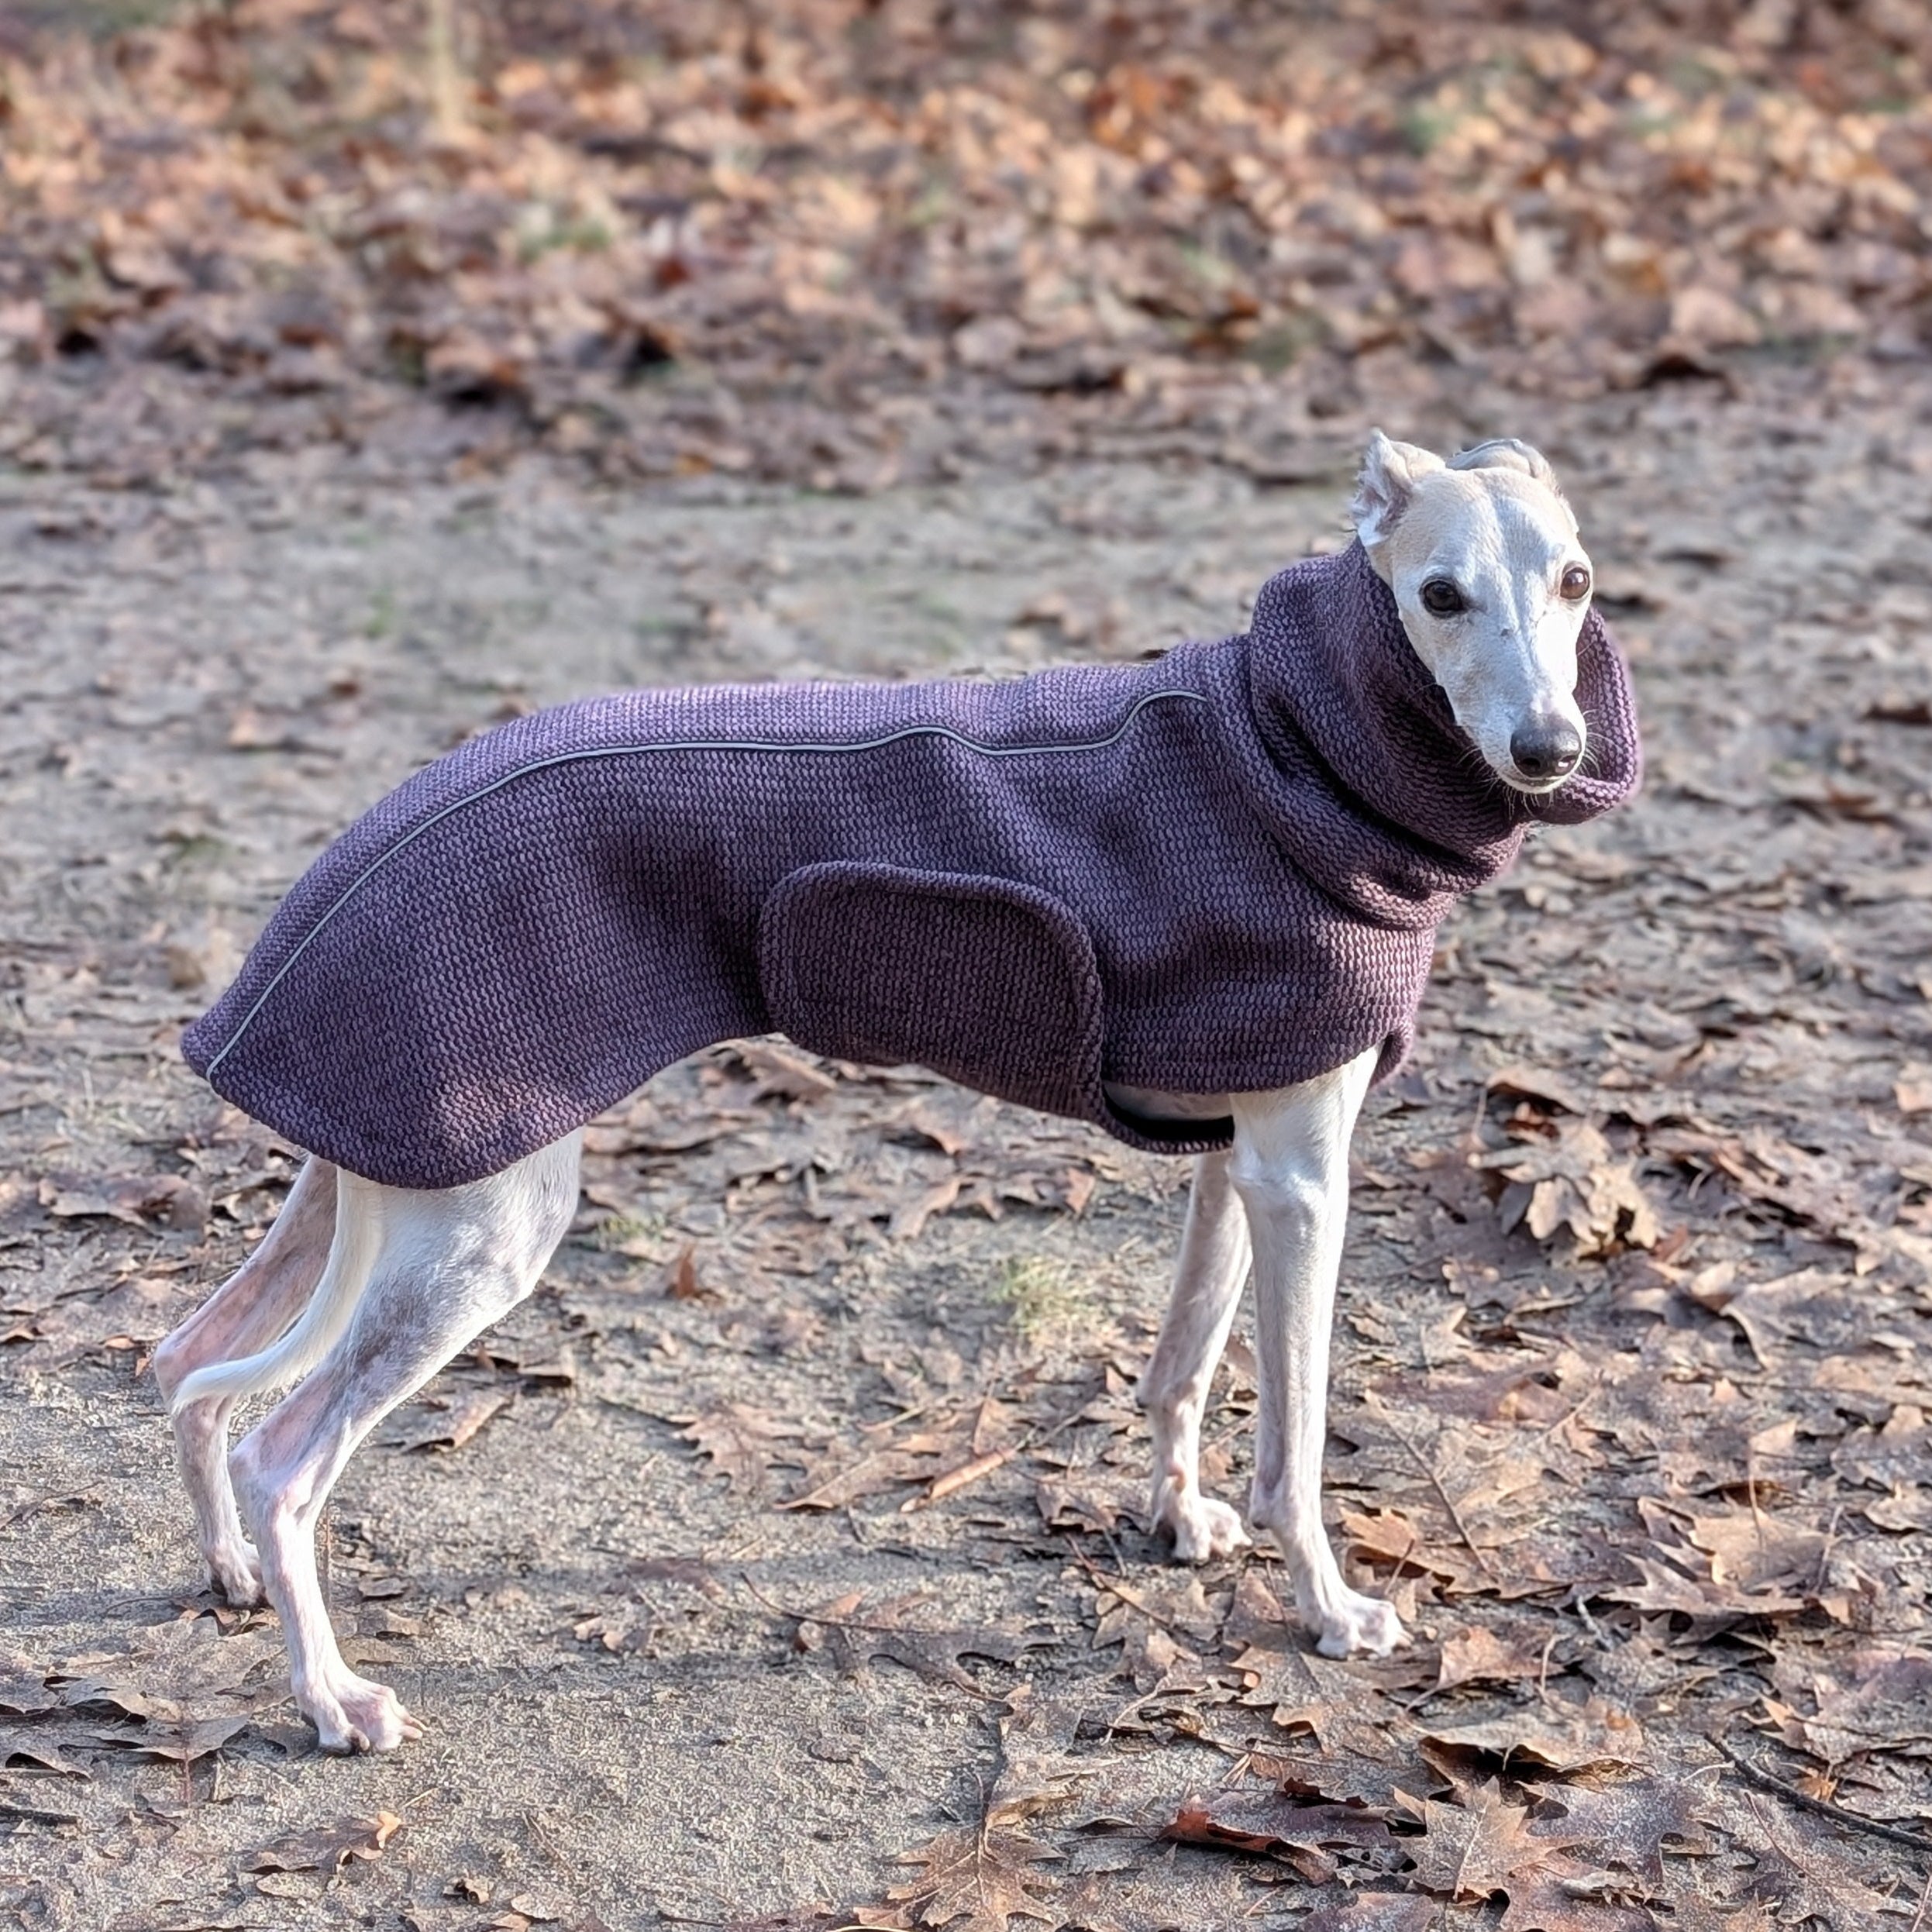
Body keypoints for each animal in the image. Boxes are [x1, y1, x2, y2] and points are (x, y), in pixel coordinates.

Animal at [152, 432, 1639, 1752]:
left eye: (1573, 579)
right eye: (1438, 594)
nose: (1551, 750)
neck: (1292, 749)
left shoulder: (1241, 1149)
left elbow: (1181, 1360)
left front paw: (1177, 1518)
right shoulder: (1303, 1176)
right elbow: (1295, 1434)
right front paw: (1329, 1609)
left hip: (371, 1176)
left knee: (182, 1361)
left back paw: (228, 1574)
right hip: (477, 1226)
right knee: (284, 1456)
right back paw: (330, 1697)